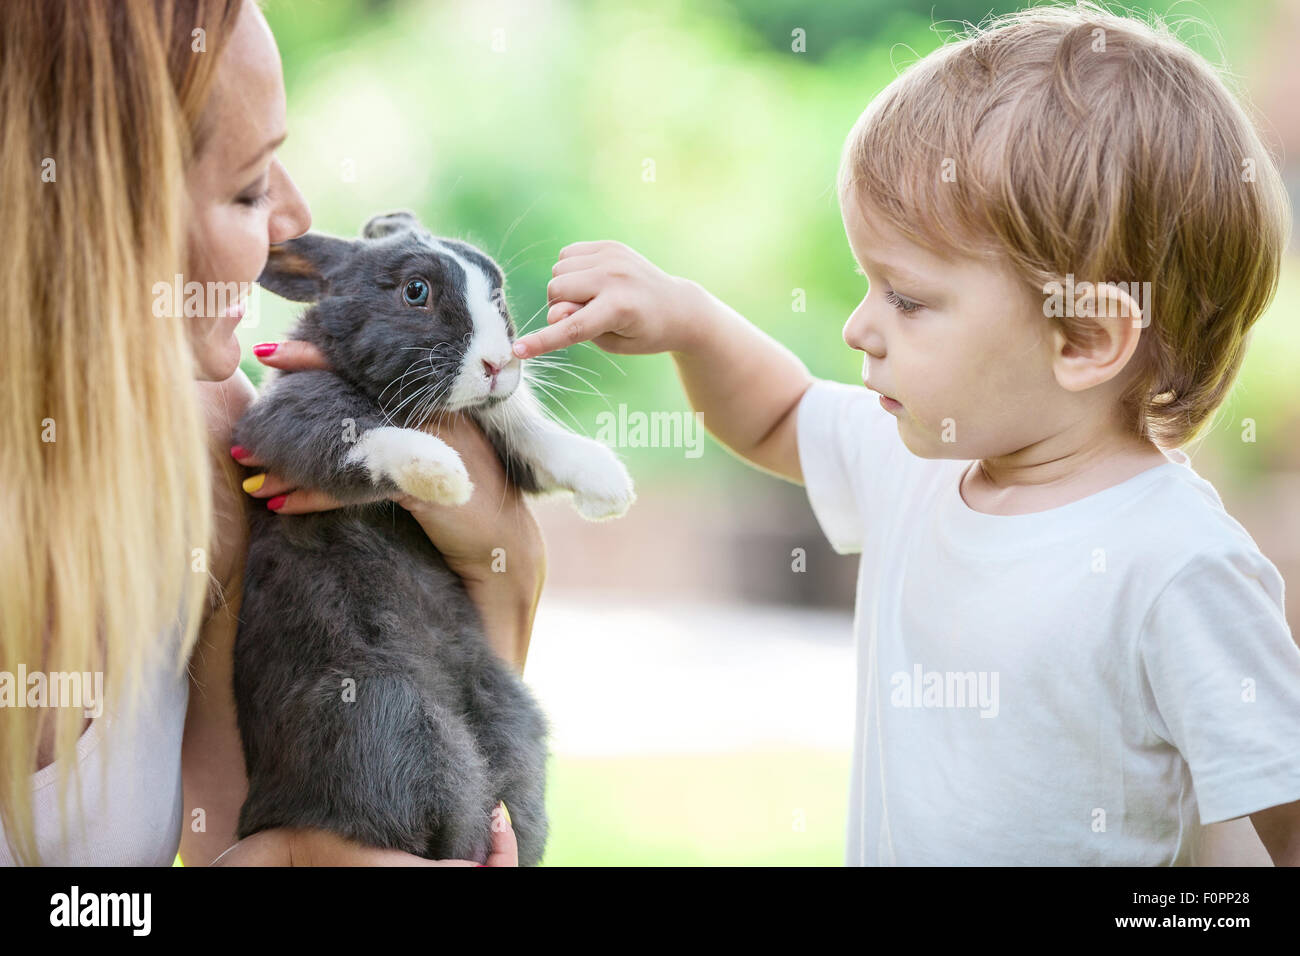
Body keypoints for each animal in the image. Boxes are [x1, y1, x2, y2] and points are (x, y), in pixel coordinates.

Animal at [233, 210, 639, 868]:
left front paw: (607, 485)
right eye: (415, 291)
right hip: (383, 713)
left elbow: (521, 426)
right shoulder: (284, 418)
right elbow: (360, 432)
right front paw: (446, 476)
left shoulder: (501, 431)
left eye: (497, 294)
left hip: (508, 714)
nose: (498, 364)